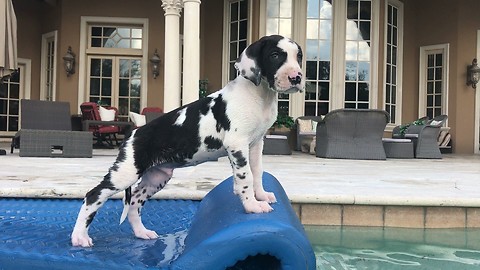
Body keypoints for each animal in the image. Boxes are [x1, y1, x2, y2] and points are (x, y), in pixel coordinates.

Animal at [71, 34, 304, 248]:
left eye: (299, 56)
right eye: (275, 55)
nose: (297, 77)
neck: (259, 95)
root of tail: (133, 133)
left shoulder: (255, 144)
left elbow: (257, 172)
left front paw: (261, 196)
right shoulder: (237, 144)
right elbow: (245, 178)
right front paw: (252, 206)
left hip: (156, 177)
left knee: (134, 201)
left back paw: (141, 232)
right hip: (126, 173)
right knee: (93, 195)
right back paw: (80, 237)